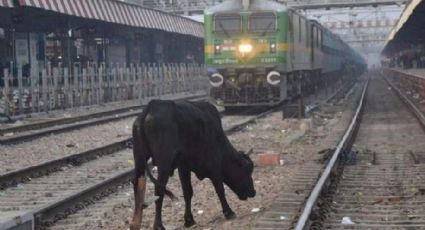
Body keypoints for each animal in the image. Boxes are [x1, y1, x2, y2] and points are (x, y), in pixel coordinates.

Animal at [129, 100, 255, 230]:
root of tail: (153, 105)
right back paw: (158, 225)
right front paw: (228, 212)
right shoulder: (214, 165)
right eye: (248, 170)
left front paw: (189, 220)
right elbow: (220, 189)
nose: (253, 192)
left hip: (139, 158)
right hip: (164, 162)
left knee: (136, 182)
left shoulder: (183, 167)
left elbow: (188, 192)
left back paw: (135, 223)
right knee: (159, 190)